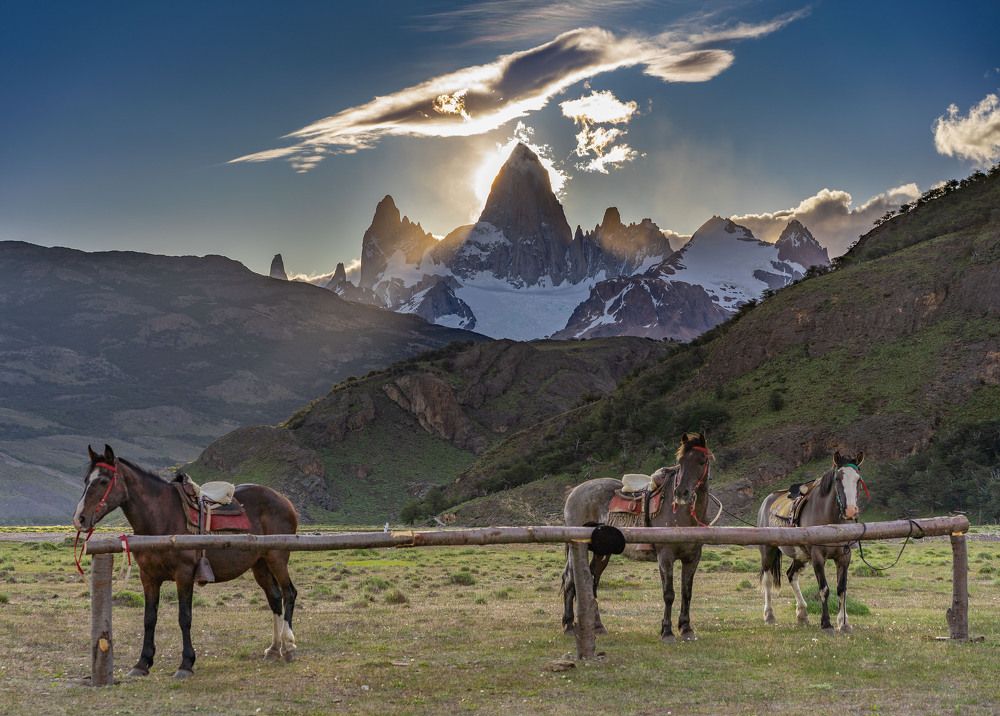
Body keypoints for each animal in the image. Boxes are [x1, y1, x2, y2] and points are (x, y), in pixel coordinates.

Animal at [72, 444, 299, 679]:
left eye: (103, 481)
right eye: (86, 480)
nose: (79, 519)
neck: (161, 518)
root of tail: (285, 501)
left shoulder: (184, 574)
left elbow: (184, 617)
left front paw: (186, 664)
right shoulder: (148, 577)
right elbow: (149, 619)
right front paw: (142, 663)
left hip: (277, 557)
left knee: (289, 593)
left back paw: (289, 645)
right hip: (260, 564)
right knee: (274, 597)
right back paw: (274, 648)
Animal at [561, 432, 714, 642]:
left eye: (702, 461)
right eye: (681, 462)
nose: (681, 493)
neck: (683, 516)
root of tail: (573, 492)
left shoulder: (692, 558)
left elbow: (686, 593)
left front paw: (686, 629)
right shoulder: (665, 556)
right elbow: (669, 594)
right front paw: (667, 632)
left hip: (601, 552)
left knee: (592, 582)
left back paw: (598, 626)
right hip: (578, 547)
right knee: (571, 581)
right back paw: (569, 625)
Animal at [757, 450, 866, 633]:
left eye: (858, 479)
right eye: (838, 479)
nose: (851, 511)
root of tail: (767, 500)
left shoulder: (844, 556)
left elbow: (841, 589)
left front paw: (843, 622)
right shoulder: (817, 556)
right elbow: (824, 589)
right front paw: (826, 623)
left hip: (800, 556)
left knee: (791, 575)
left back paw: (802, 613)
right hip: (768, 550)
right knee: (768, 580)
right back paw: (769, 615)